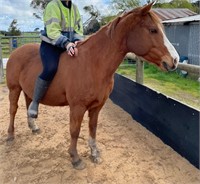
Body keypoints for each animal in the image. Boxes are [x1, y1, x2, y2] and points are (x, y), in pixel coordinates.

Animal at [6, 2, 179, 170]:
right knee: (13, 110)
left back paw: (33, 126)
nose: (175, 60)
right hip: (14, 89)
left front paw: (94, 153)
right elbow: (74, 131)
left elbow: (93, 128)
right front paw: (75, 158)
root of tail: (15, 52)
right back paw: (10, 136)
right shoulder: (77, 107)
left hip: (27, 90)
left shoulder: (97, 106)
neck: (92, 63)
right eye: (153, 30)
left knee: (29, 103)